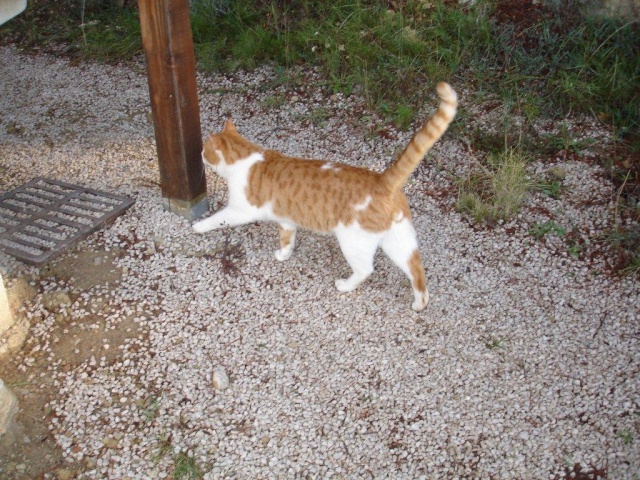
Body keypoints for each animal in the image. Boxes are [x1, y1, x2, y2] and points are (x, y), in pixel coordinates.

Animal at [192, 81, 458, 312]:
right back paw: (419, 303)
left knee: (366, 270)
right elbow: (287, 239)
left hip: (353, 241)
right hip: (398, 241)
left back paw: (345, 285)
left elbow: (216, 219)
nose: (200, 155)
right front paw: (283, 255)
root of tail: (382, 179)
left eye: (204, 150)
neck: (247, 157)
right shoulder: (287, 220)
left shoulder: (240, 210)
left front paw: (198, 226)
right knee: (416, 269)